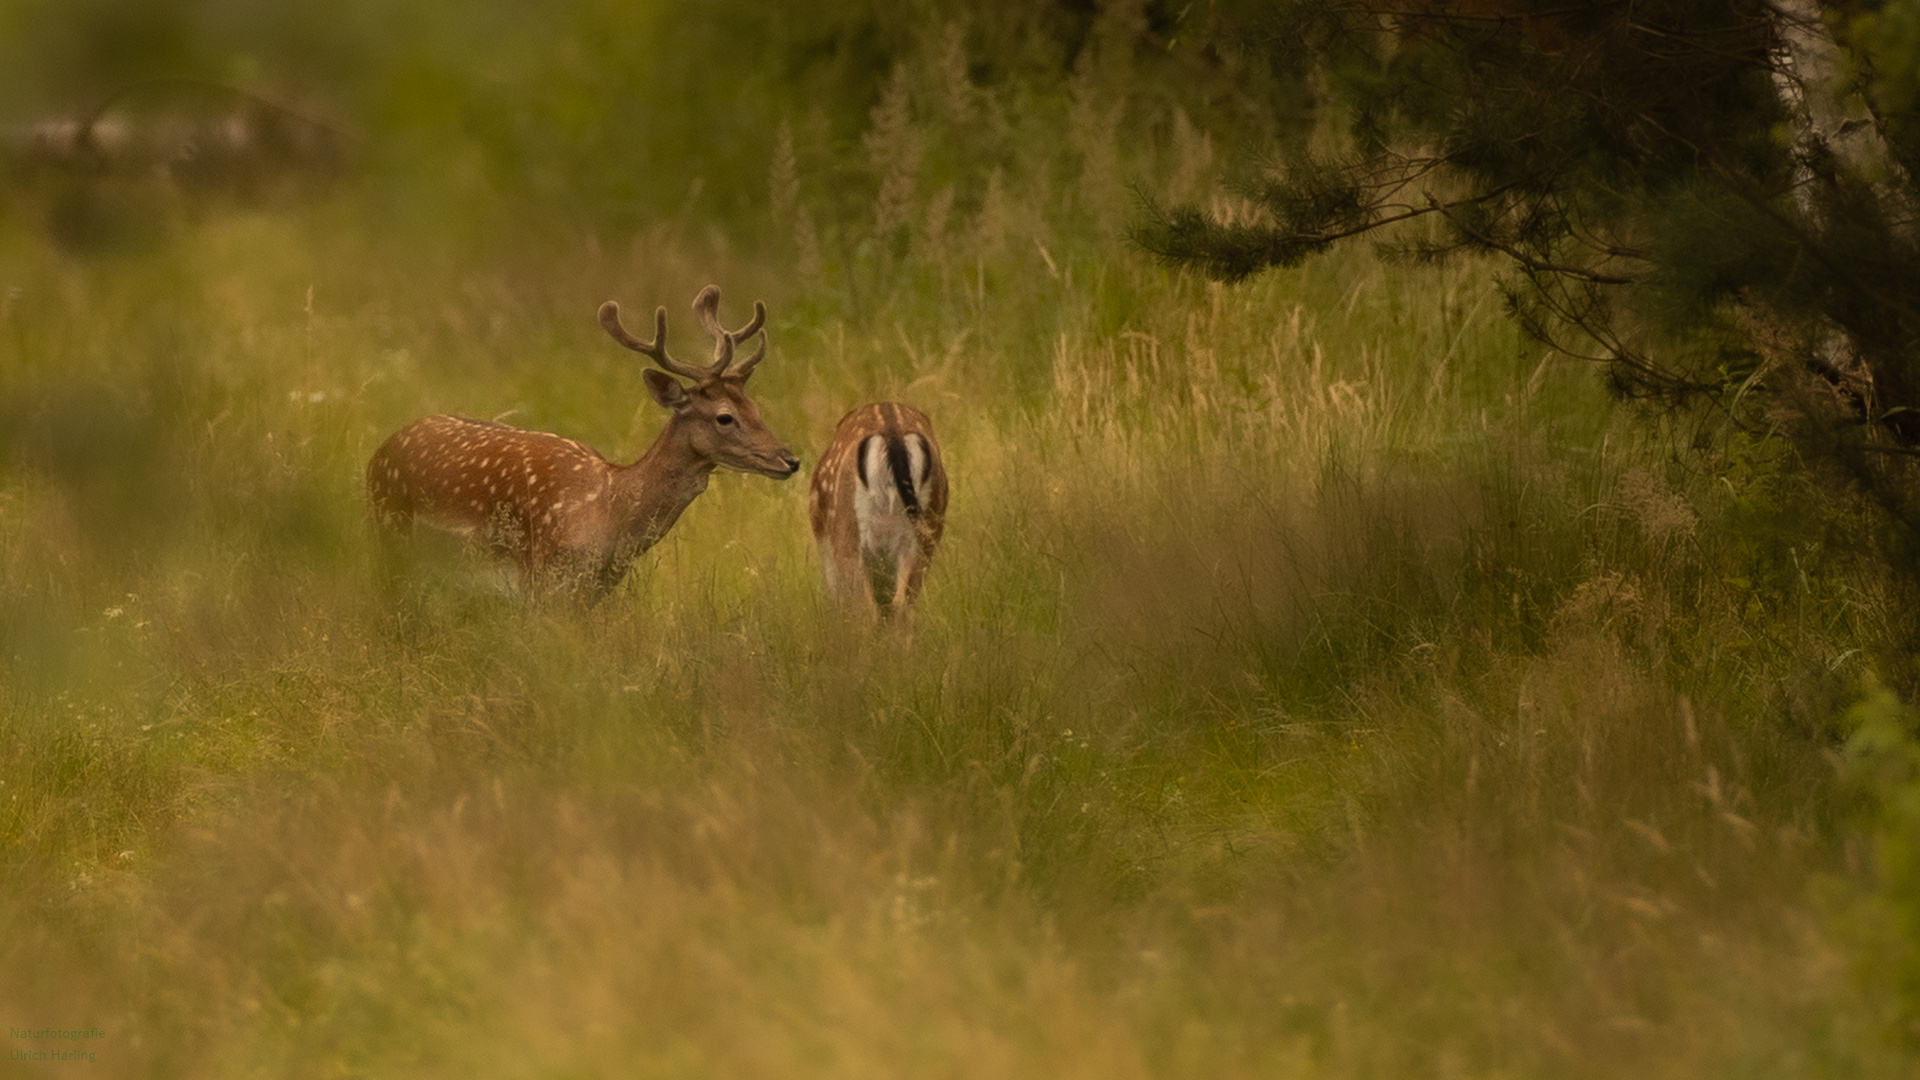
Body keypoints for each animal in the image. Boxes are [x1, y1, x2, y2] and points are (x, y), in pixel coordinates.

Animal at [366, 284, 794, 595]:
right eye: (724, 417)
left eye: (755, 407)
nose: (791, 459)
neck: (608, 517)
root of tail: (378, 454)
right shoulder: (540, 578)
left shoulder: (597, 590)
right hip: (390, 532)